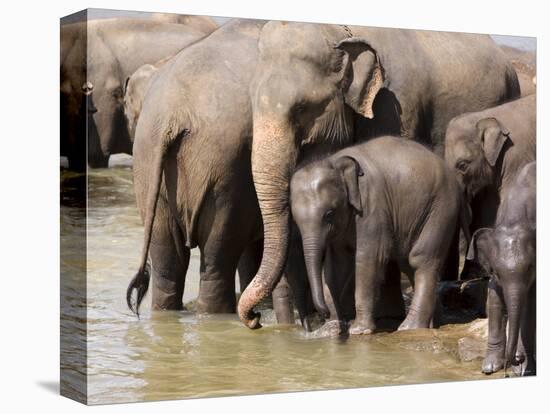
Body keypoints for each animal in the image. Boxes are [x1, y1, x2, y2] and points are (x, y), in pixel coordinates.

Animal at [292, 136, 468, 334]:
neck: (334, 160)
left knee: (421, 259)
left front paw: (358, 330)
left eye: (329, 214)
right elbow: (335, 266)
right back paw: (433, 324)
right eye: (295, 220)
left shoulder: (372, 206)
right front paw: (331, 328)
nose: (323, 313)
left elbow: (369, 257)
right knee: (409, 263)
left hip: (440, 209)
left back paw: (409, 328)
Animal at [468, 162, 536, 376]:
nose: (516, 359)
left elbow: (530, 306)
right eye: (496, 272)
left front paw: (524, 369)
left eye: (531, 268)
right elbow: (494, 298)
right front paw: (489, 367)